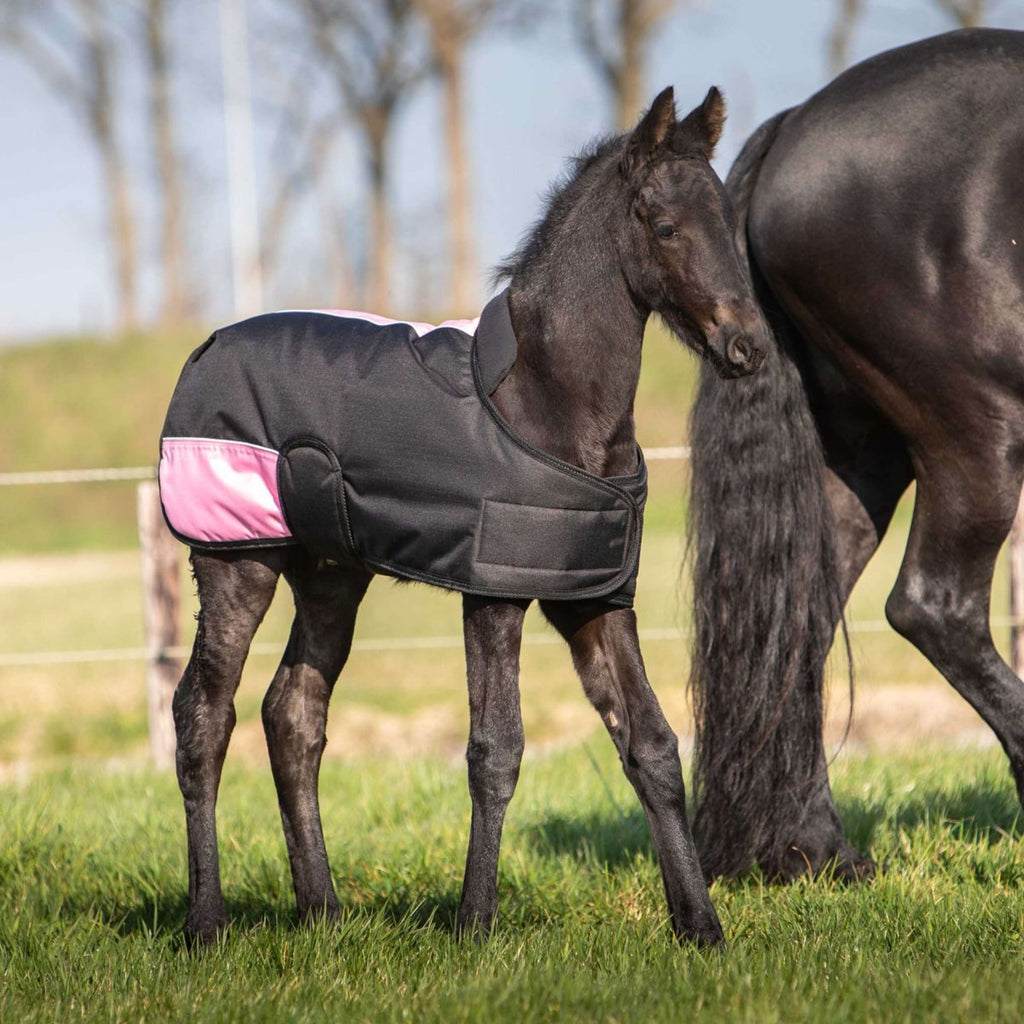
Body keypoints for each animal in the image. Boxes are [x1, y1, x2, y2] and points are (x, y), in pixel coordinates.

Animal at [162, 85, 767, 949]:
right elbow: (496, 749)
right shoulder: (495, 593)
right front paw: (474, 924)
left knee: (293, 714)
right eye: (664, 225)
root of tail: (204, 349)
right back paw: (205, 923)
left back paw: (324, 914)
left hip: (331, 577)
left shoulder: (593, 598)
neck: (550, 401)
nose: (748, 348)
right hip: (235, 560)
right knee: (204, 715)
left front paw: (701, 927)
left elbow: (651, 744)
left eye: (725, 218)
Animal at [688, 28, 1024, 881]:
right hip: (974, 433)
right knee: (932, 607)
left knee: (798, 628)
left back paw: (816, 850)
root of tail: (793, 129)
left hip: (863, 455)